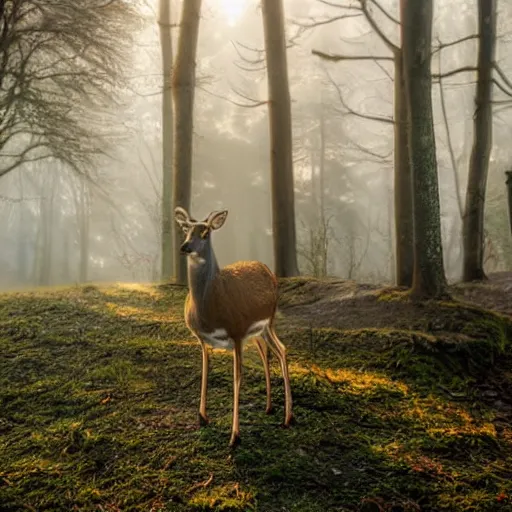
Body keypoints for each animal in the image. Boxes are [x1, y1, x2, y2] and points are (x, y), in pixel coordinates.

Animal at [173, 206, 292, 446]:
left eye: (205, 232)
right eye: (186, 230)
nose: (185, 247)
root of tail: (267, 269)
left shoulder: (237, 332)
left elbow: (238, 377)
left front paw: (235, 436)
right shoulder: (202, 338)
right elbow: (205, 370)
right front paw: (202, 417)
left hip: (269, 320)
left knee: (282, 349)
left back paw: (287, 418)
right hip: (258, 331)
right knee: (267, 351)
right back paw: (269, 407)